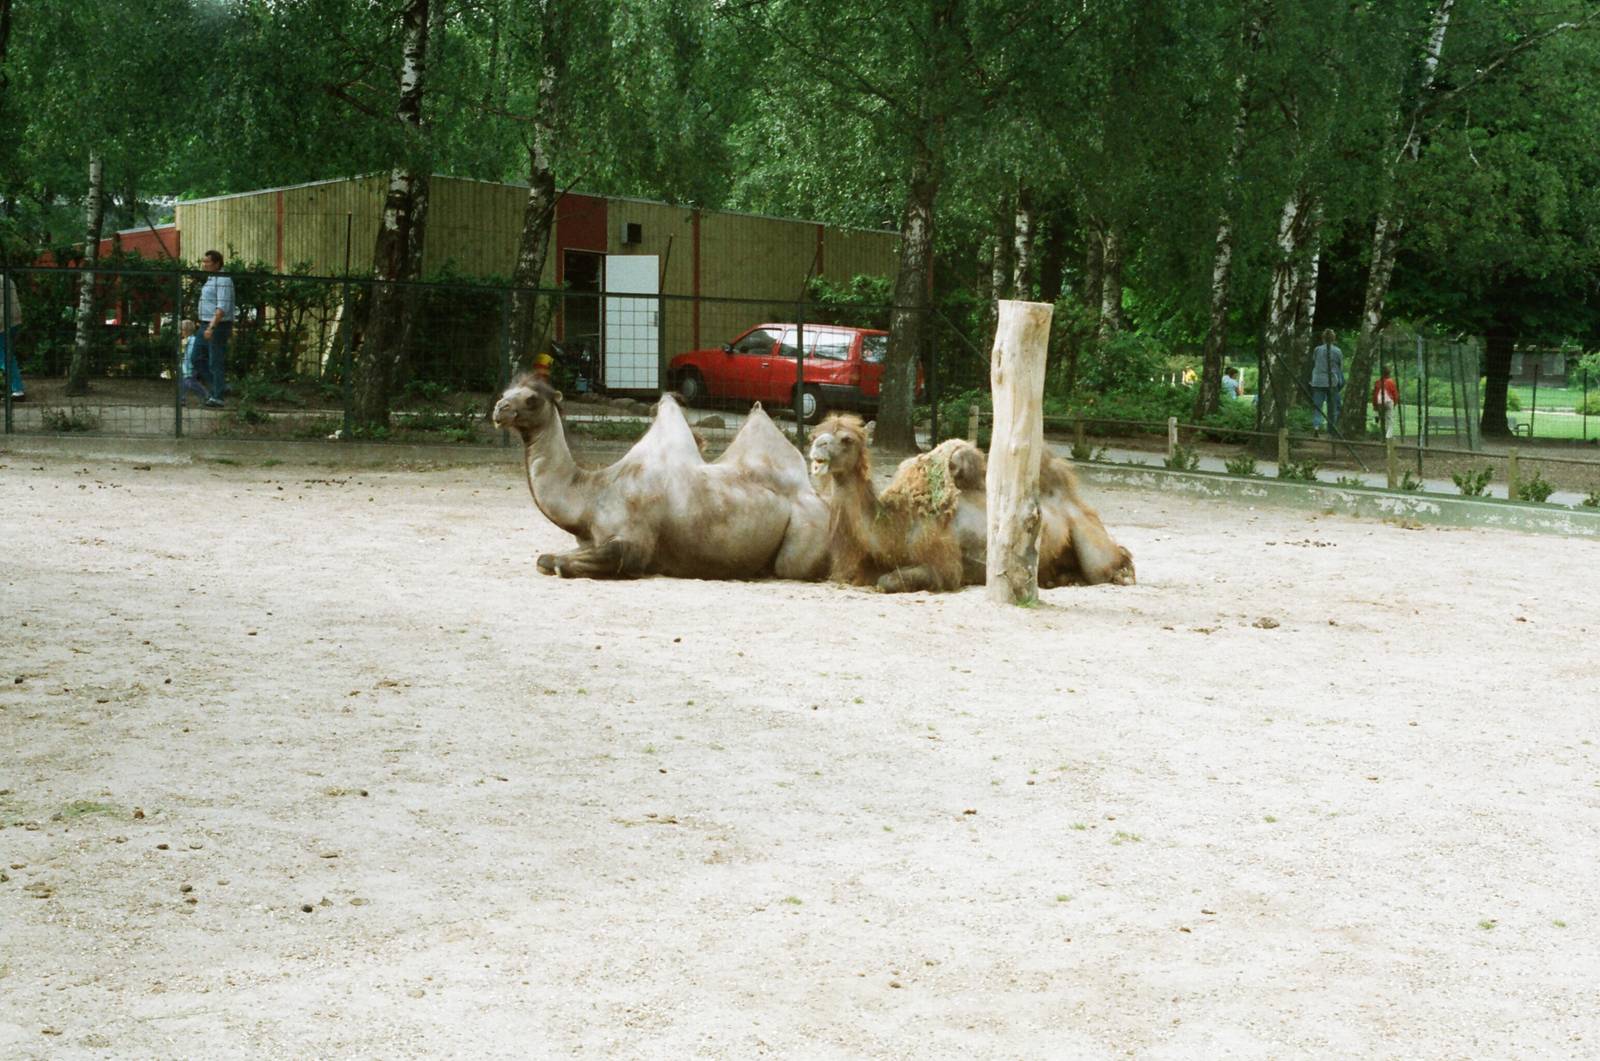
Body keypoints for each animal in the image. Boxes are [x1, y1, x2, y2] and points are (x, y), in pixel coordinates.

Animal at [492, 378, 829, 580]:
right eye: (506, 393)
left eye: (532, 399)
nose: (499, 408)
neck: (591, 497)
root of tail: (823, 502)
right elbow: (547, 558)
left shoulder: (634, 541)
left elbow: (566, 562)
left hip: (805, 534)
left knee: (791, 567)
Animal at [806, 414, 1134, 593]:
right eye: (817, 433)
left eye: (847, 439)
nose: (817, 446)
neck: (896, 523)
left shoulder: (944, 565)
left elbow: (889, 581)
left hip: (1090, 539)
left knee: (1108, 563)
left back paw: (1122, 573)